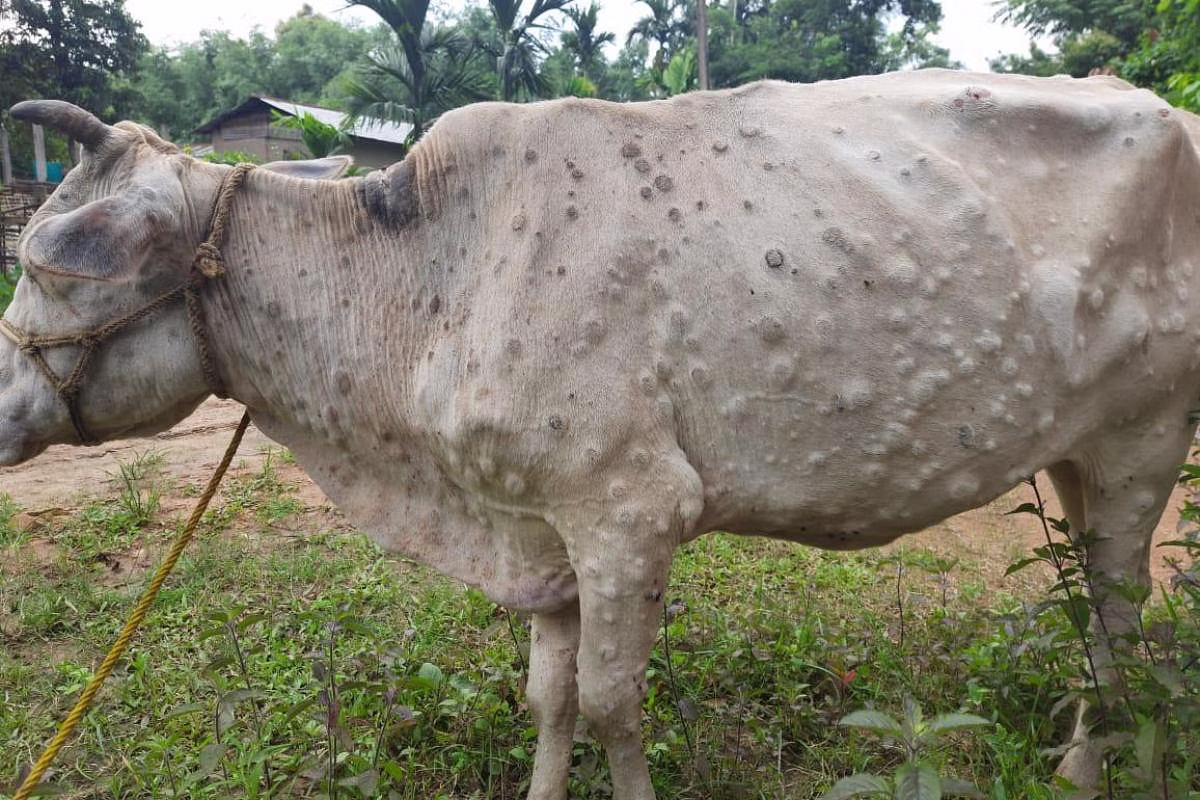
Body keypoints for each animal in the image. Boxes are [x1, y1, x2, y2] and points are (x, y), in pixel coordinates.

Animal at [2, 69, 1198, 798]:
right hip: (1075, 450)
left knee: (1117, 612)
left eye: (59, 261)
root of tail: (1171, 116)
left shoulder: (630, 515)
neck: (430, 278)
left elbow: (615, 701)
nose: (4, 406)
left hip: (1145, 437)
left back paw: (1084, 766)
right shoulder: (539, 532)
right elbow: (553, 696)